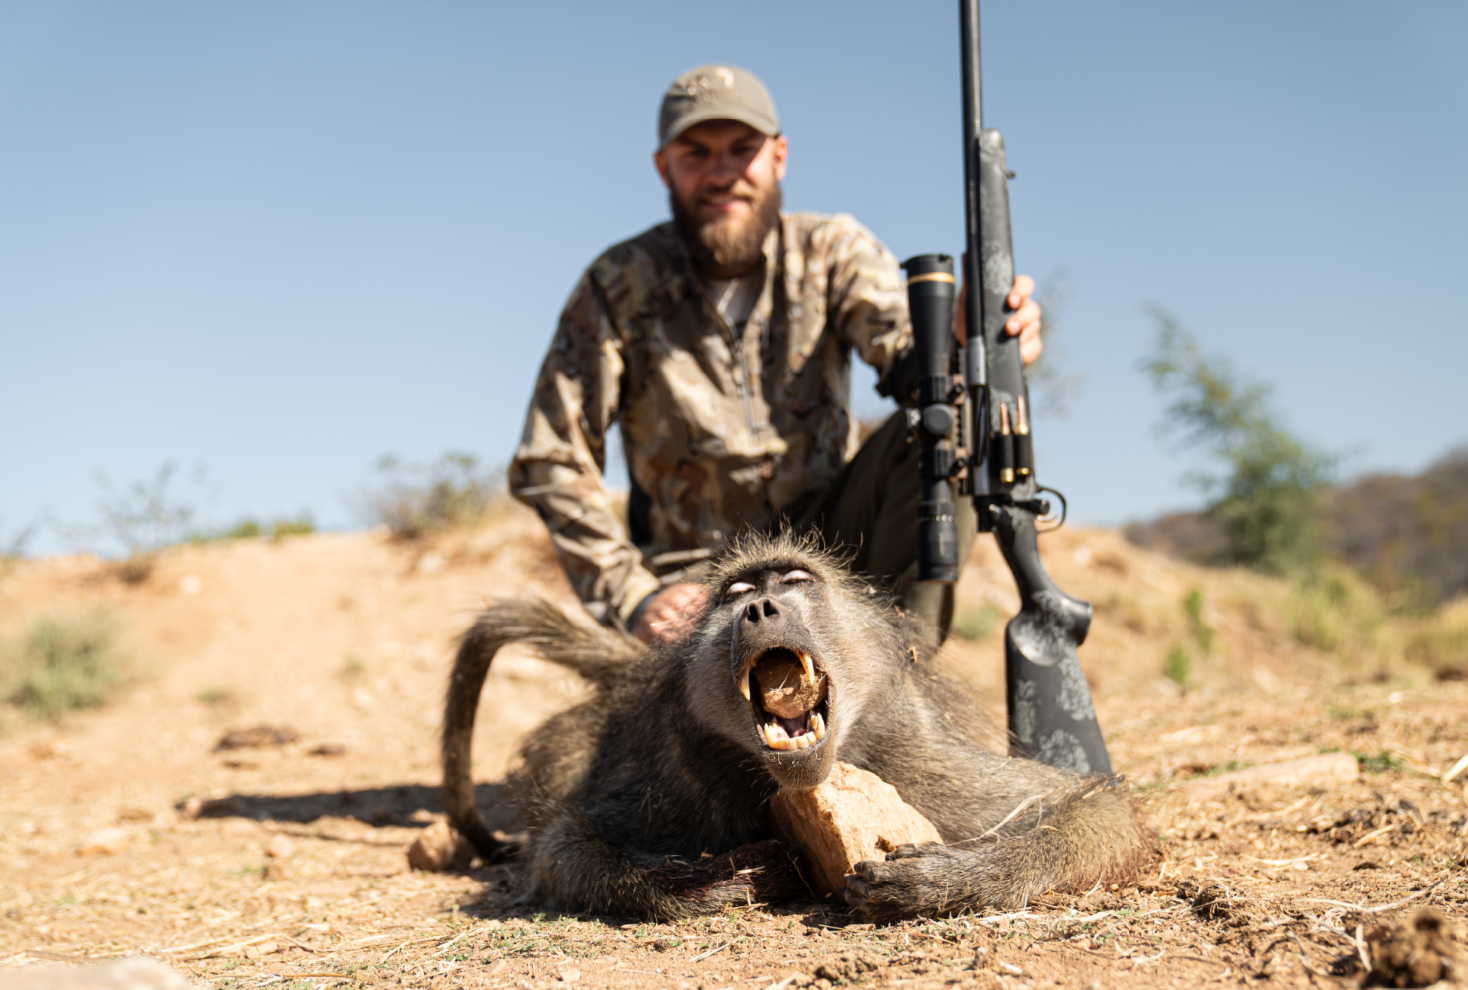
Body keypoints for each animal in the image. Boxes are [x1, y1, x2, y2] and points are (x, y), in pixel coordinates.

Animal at [441, 531, 1152, 921]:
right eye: (734, 594)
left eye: (793, 581)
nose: (759, 607)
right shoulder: (682, 783)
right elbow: (563, 842)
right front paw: (698, 883)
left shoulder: (918, 768)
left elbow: (1094, 805)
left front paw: (943, 880)